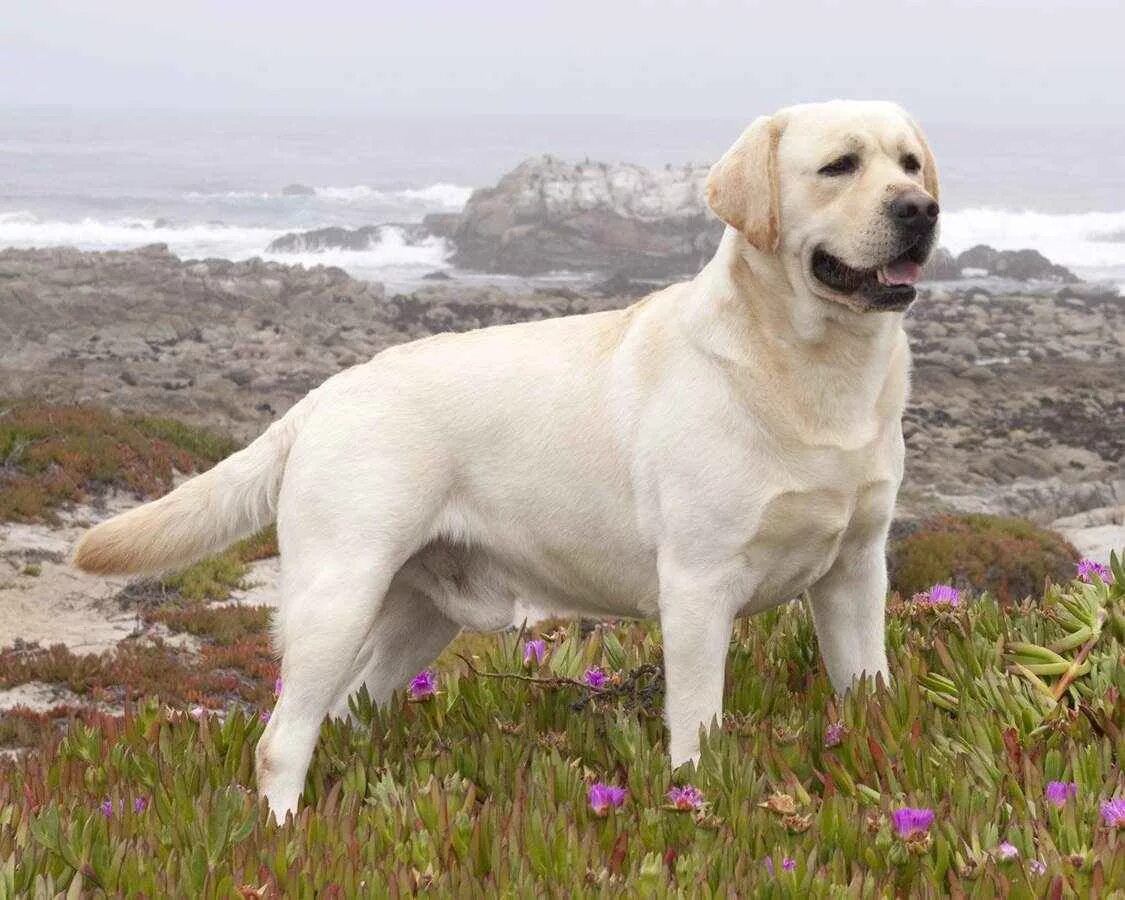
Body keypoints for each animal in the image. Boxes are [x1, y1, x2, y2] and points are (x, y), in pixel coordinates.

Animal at [74, 98, 940, 814]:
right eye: (838, 166)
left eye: (908, 162)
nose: (921, 210)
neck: (814, 371)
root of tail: (324, 394)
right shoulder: (699, 585)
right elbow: (697, 725)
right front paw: (696, 797)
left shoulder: (854, 570)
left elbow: (867, 686)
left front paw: (880, 757)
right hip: (337, 593)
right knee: (279, 738)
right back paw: (284, 836)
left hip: (417, 615)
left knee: (347, 710)